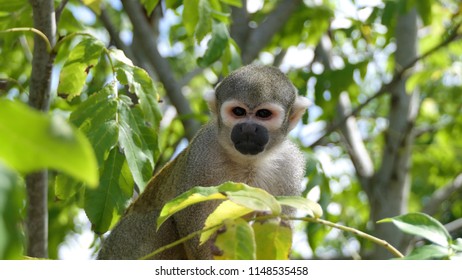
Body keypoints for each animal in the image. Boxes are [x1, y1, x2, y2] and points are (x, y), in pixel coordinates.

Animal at [99, 64, 312, 260]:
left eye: (263, 114)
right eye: (238, 111)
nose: (248, 129)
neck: (247, 163)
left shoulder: (289, 166)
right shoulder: (201, 156)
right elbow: (194, 233)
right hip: (124, 244)